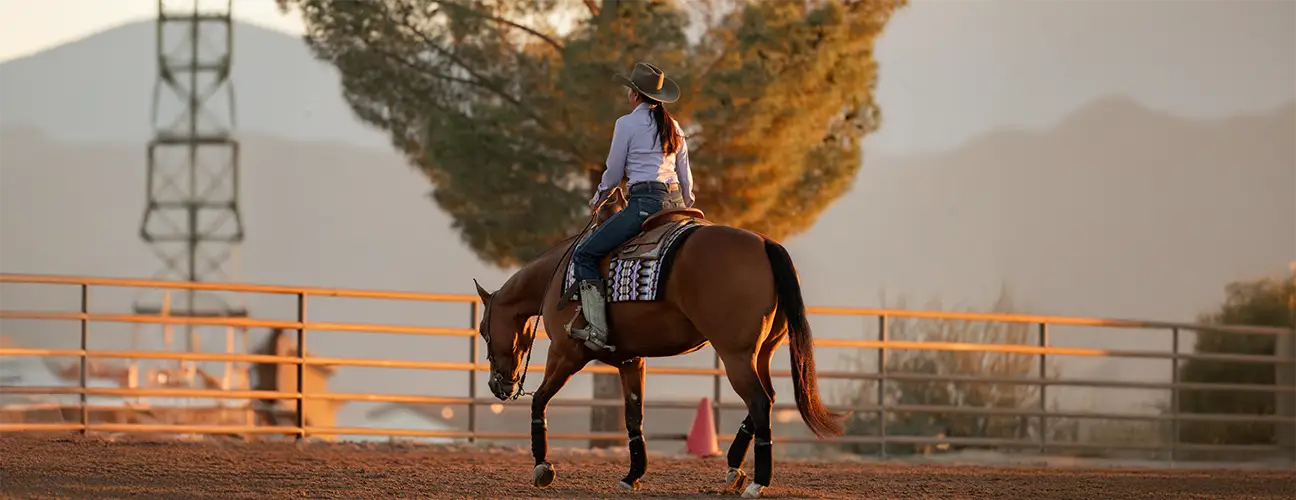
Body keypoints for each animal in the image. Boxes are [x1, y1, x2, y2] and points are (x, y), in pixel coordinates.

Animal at [471, 187, 845, 498]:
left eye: (484, 330)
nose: (498, 385)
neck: (560, 276)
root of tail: (765, 243)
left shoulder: (565, 354)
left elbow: (540, 401)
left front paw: (541, 467)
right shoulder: (630, 361)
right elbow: (633, 417)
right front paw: (632, 475)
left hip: (735, 355)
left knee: (759, 401)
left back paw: (756, 482)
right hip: (761, 353)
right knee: (767, 398)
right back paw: (733, 470)